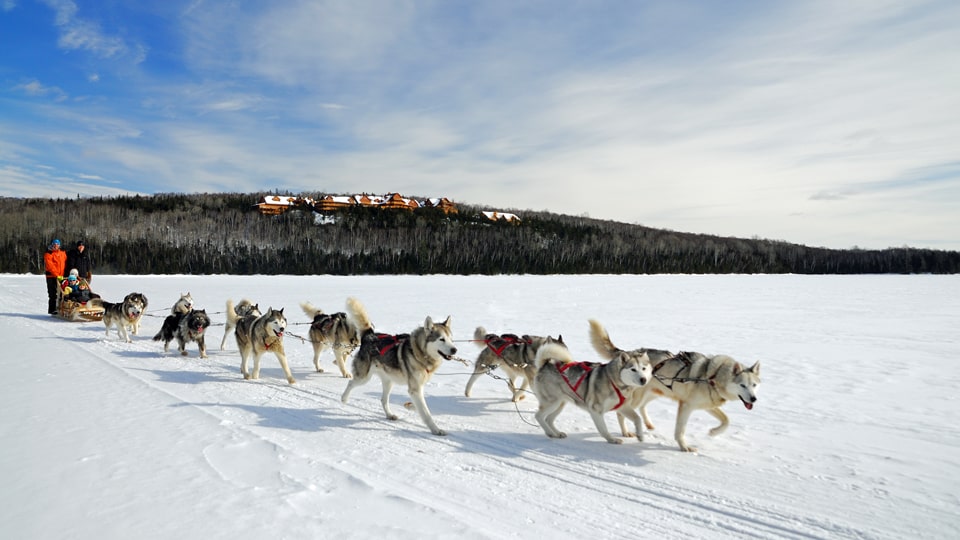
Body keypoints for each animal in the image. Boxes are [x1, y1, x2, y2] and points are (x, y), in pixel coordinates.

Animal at [340, 298, 456, 436]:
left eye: (451, 339)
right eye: (441, 339)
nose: (454, 350)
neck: (419, 353)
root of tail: (370, 335)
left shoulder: (417, 388)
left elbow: (421, 407)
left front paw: (410, 406)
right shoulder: (415, 389)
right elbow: (426, 413)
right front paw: (436, 429)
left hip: (389, 381)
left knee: (383, 400)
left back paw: (389, 415)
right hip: (364, 377)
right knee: (351, 383)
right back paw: (344, 399)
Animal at [588, 320, 760, 452]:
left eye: (754, 385)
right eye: (742, 385)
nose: (753, 399)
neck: (713, 376)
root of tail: (630, 353)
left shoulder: (708, 405)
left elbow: (726, 420)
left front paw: (713, 432)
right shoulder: (686, 406)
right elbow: (680, 430)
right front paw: (685, 447)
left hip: (655, 393)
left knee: (642, 407)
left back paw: (648, 424)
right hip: (638, 397)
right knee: (621, 412)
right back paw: (626, 432)